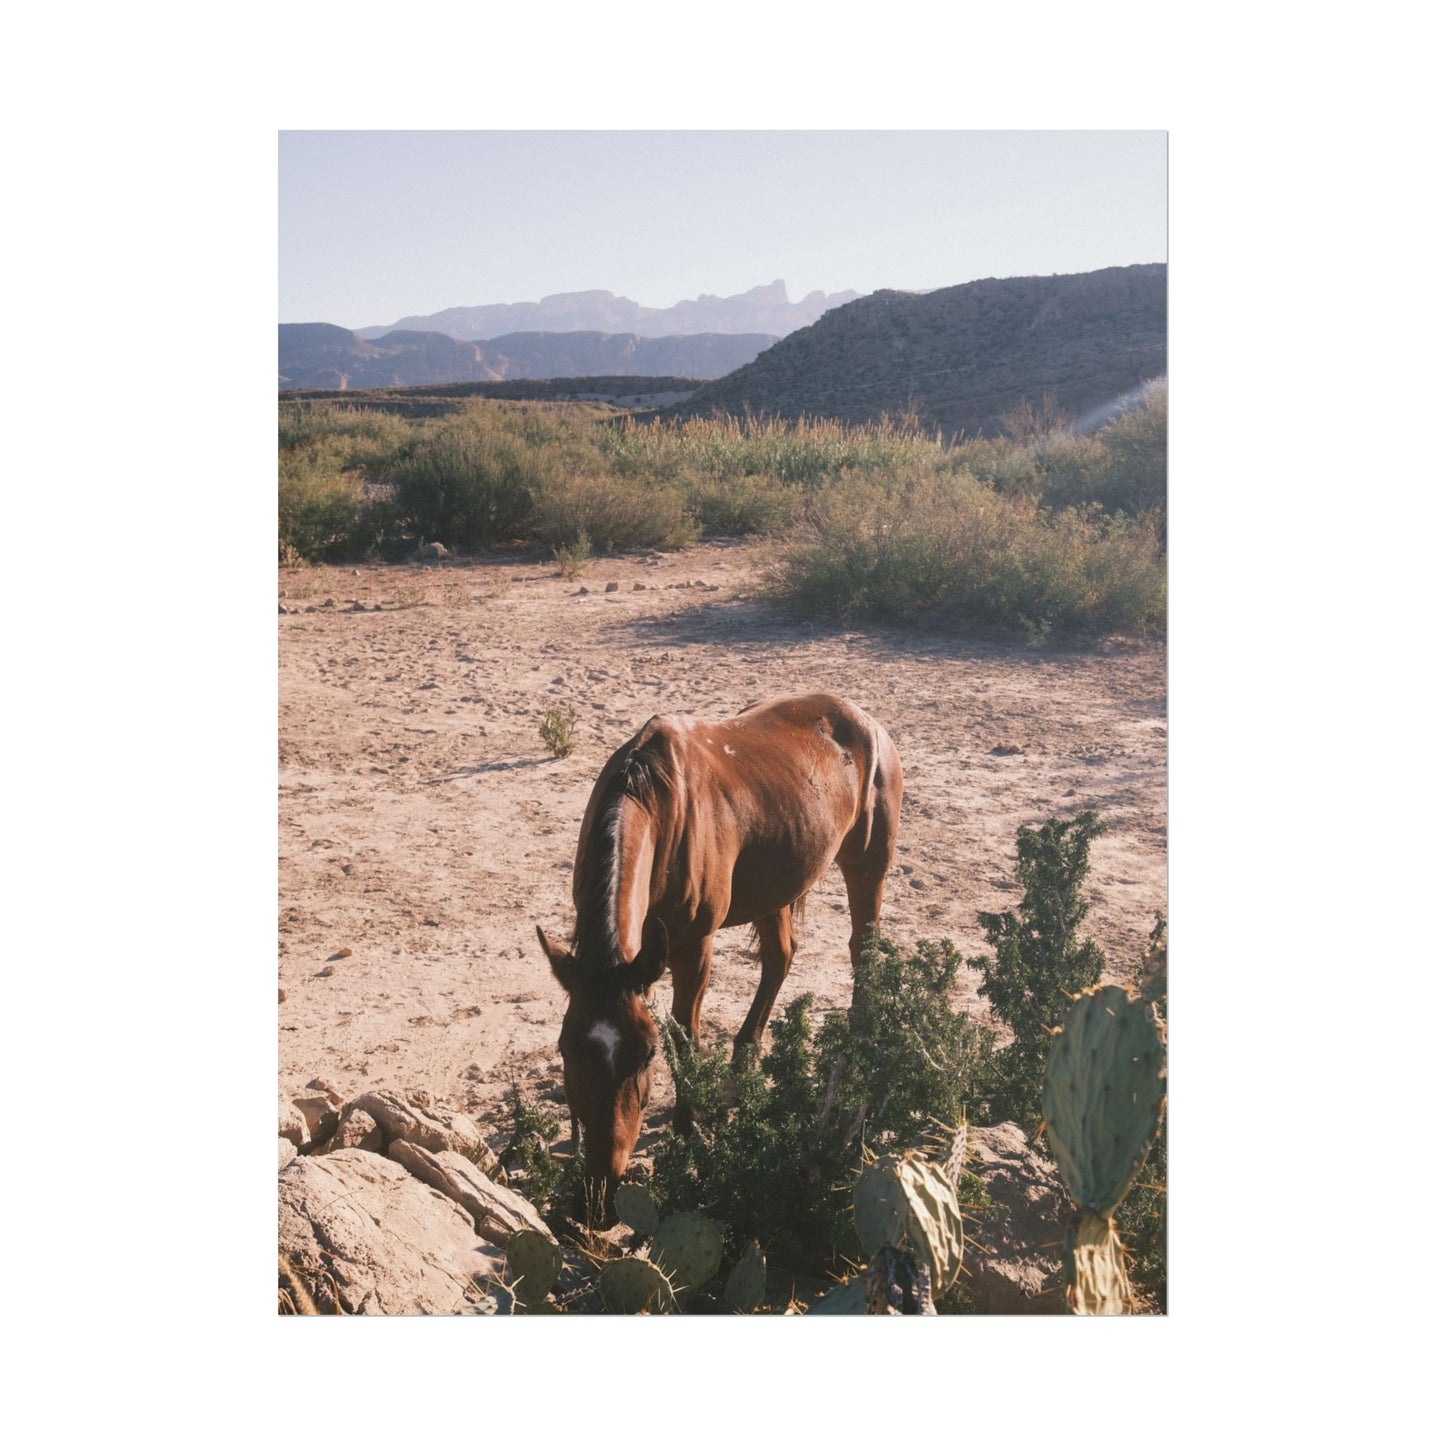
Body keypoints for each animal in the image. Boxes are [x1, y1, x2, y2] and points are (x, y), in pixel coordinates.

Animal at [535, 691, 903, 1202]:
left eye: (645, 1055)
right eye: (567, 1051)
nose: (603, 1182)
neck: (659, 805)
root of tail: (865, 721)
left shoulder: (693, 949)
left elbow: (684, 1038)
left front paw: (687, 1130)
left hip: (867, 868)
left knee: (861, 952)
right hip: (777, 884)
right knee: (780, 958)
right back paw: (741, 1065)